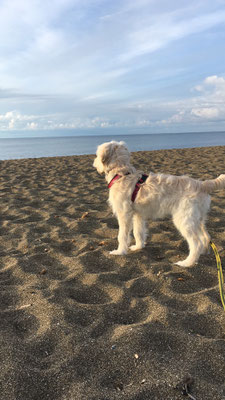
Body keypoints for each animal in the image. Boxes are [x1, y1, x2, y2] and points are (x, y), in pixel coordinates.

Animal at [93, 139, 225, 268]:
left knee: (196, 243)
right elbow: (138, 232)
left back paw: (187, 263)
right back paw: (202, 253)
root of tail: (201, 184)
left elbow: (122, 235)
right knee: (206, 237)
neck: (122, 173)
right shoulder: (138, 215)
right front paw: (138, 247)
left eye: (97, 154)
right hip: (198, 219)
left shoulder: (124, 214)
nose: (93, 163)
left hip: (184, 220)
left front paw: (119, 251)